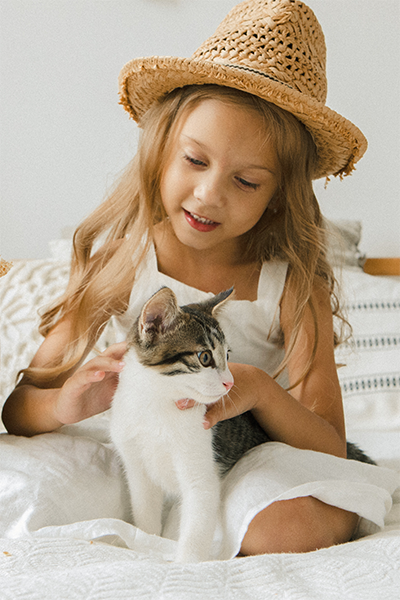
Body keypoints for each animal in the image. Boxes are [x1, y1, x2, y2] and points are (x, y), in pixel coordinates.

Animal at [110, 286, 376, 564]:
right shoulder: (136, 467)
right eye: (205, 357)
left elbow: (196, 522)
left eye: (227, 355)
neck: (156, 405)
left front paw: (187, 564)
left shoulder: (201, 471)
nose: (230, 382)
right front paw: (146, 544)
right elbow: (144, 509)